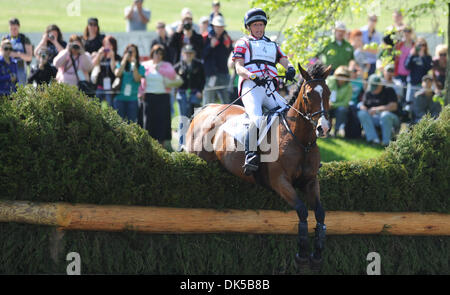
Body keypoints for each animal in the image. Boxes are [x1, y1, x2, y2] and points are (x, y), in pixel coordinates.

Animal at [185, 63, 332, 272]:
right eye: (307, 95)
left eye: (328, 93)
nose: (323, 127)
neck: (300, 140)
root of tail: (206, 110)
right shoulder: (280, 181)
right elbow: (302, 211)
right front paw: (302, 256)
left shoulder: (311, 181)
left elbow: (320, 214)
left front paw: (317, 255)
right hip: (196, 156)